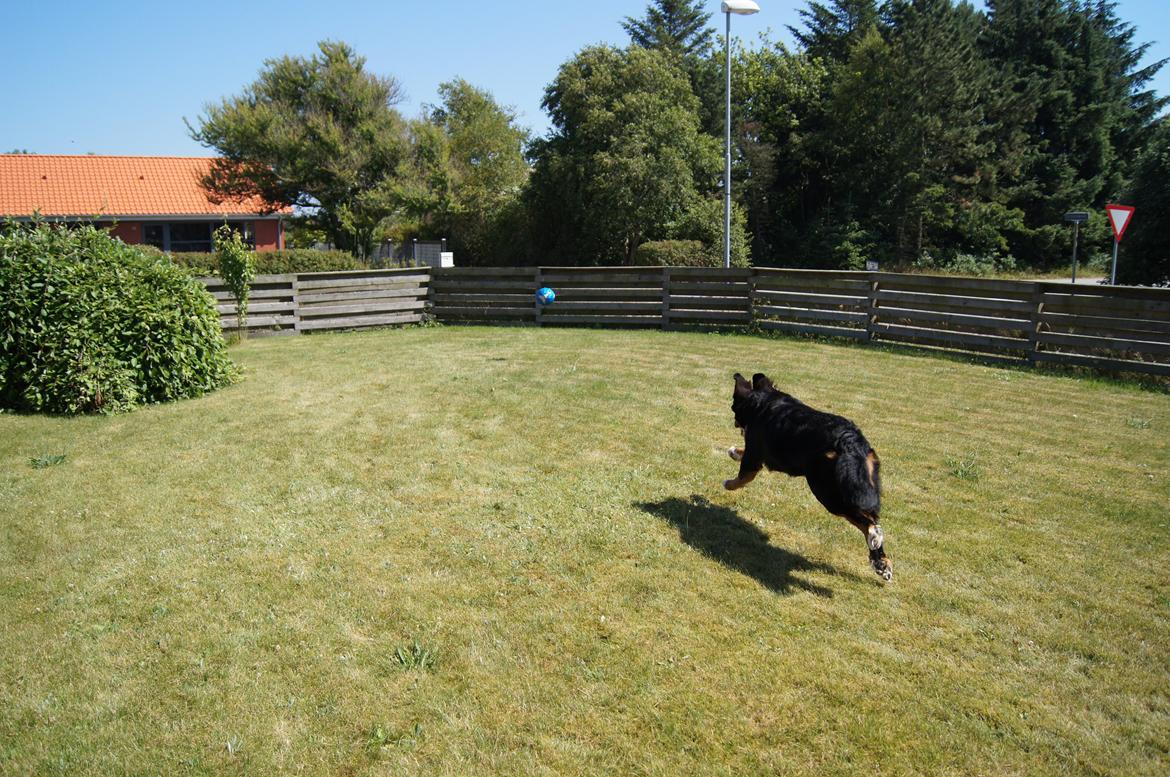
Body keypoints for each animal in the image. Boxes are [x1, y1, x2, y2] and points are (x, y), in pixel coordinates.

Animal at [720, 372, 893, 582]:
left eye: (733, 406)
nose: (734, 421)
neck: (765, 402)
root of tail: (849, 442)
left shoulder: (754, 454)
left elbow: (742, 477)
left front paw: (728, 483)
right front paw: (734, 451)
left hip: (828, 492)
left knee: (867, 522)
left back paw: (875, 540)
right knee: (871, 519)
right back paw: (882, 564)